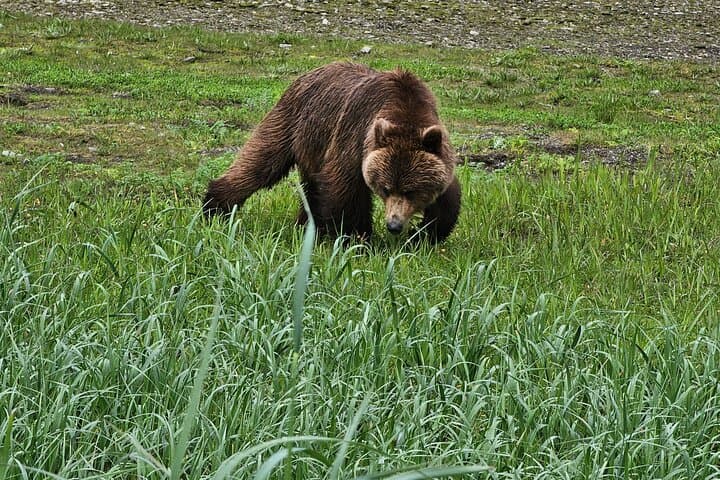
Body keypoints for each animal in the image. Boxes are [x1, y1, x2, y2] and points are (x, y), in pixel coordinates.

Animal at [203, 61, 461, 243]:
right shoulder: (355, 137)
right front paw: (358, 238)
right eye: (386, 188)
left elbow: (447, 200)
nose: (394, 225)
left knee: (310, 187)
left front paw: (425, 235)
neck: (405, 107)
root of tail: (308, 74)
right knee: (261, 162)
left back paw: (306, 225)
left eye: (411, 191)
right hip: (293, 122)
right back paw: (215, 206)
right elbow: (345, 189)